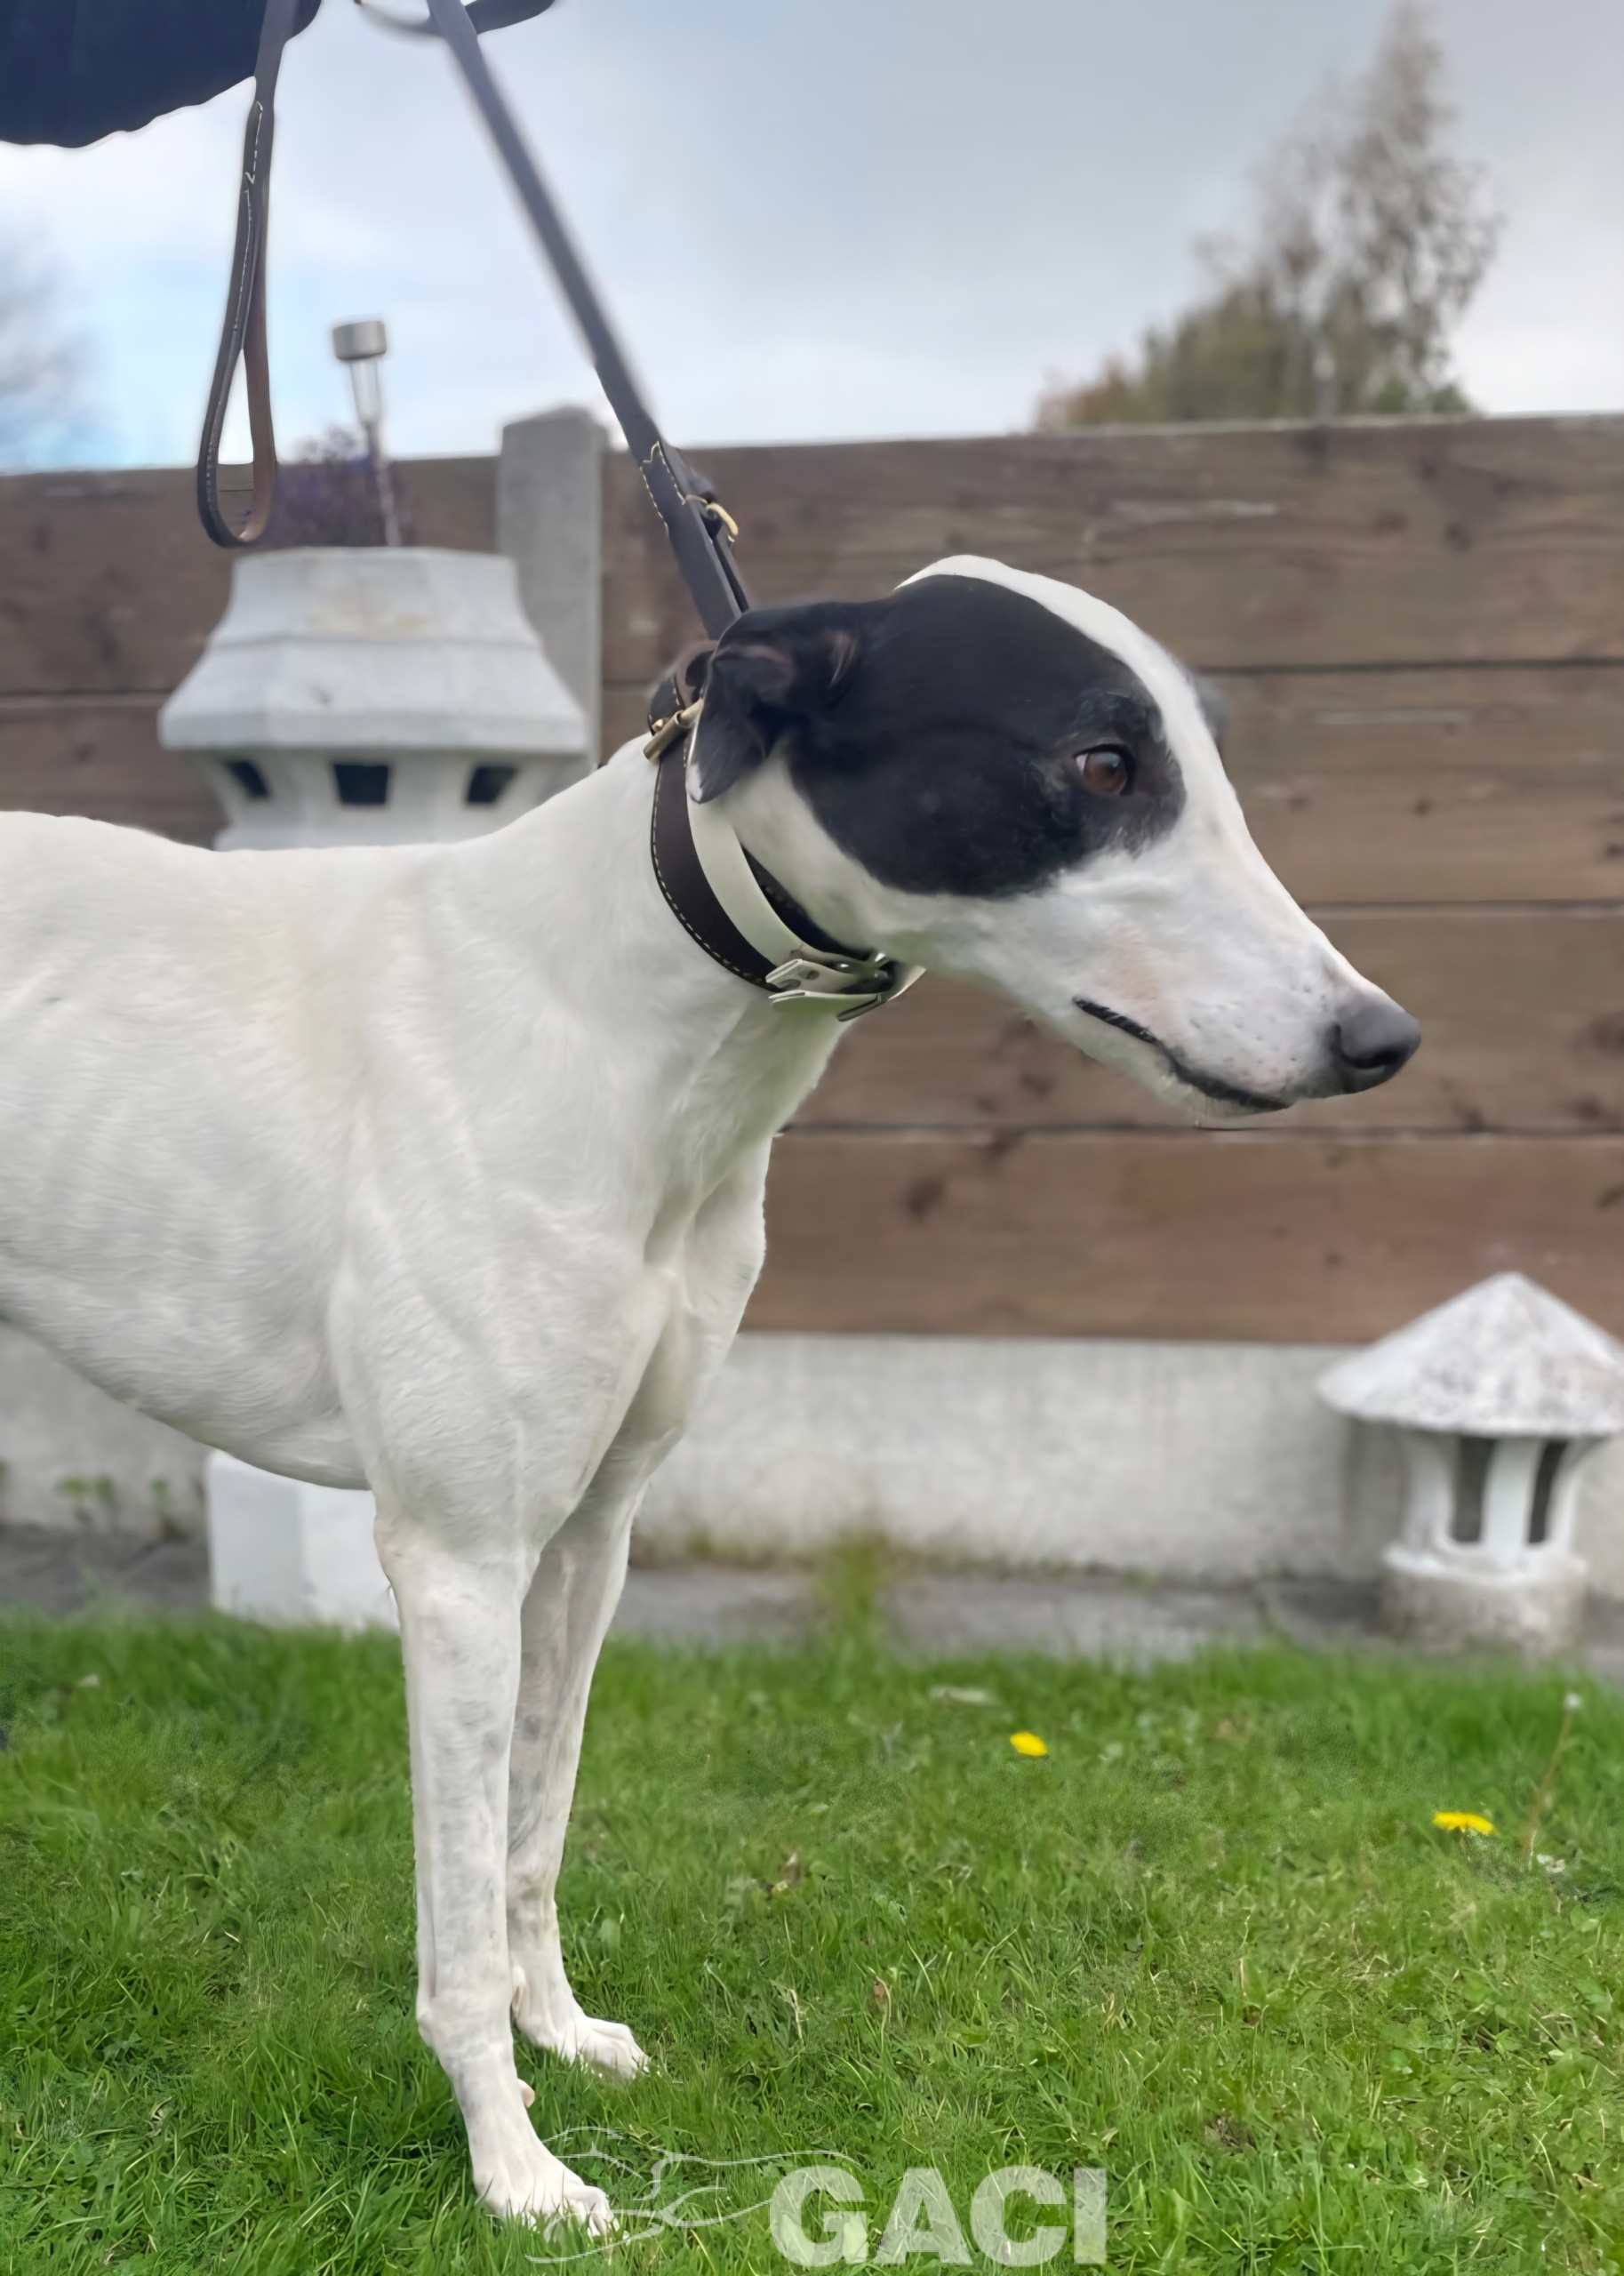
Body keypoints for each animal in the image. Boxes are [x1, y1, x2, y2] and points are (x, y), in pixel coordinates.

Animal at [0, 557, 1418, 2225]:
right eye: (1100, 765)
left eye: (1204, 755)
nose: (1378, 1037)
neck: (618, 1015)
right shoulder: (458, 1561)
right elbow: (455, 1928)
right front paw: (514, 2166)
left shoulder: (588, 1534)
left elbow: (532, 1835)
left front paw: (560, 2036)